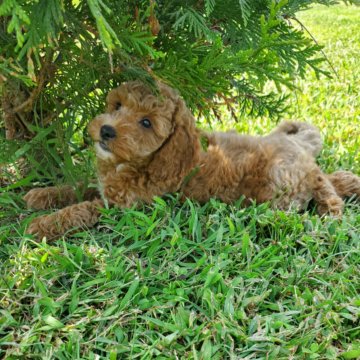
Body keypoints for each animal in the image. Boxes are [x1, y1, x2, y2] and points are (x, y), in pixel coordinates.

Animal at [25, 81, 360, 239]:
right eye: (117, 105)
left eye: (146, 123)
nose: (106, 131)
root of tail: (289, 142)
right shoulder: (105, 187)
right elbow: (77, 187)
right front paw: (41, 195)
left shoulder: (125, 207)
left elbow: (82, 209)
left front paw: (42, 225)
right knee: (328, 175)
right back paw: (350, 184)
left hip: (280, 182)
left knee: (320, 183)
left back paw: (332, 209)